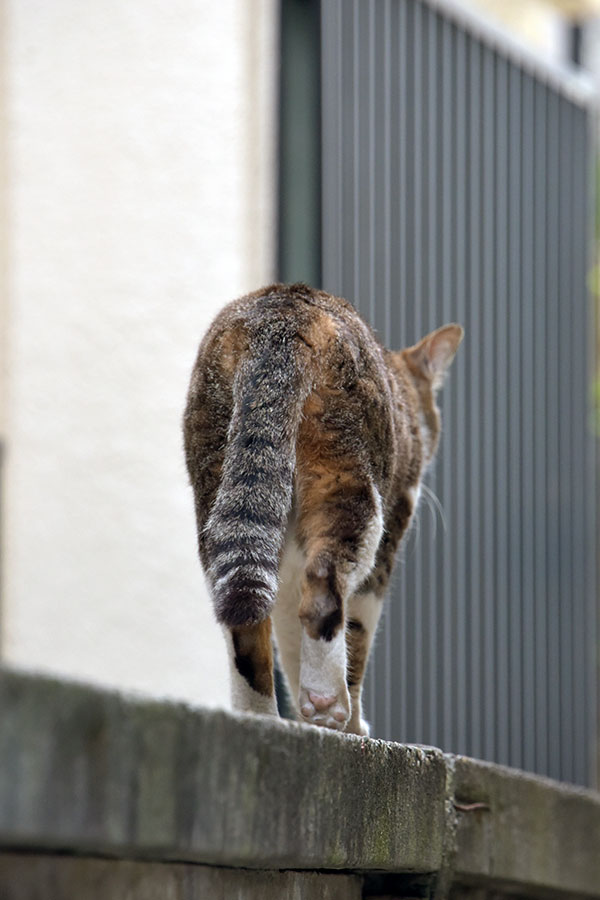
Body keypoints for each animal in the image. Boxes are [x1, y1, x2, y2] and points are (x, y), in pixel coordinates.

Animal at [184, 284, 464, 736]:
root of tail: (281, 314)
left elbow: (287, 637)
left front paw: (307, 719)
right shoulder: (392, 526)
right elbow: (358, 634)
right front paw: (348, 726)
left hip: (218, 485)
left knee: (242, 619)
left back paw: (260, 719)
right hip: (351, 485)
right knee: (325, 585)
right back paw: (329, 702)